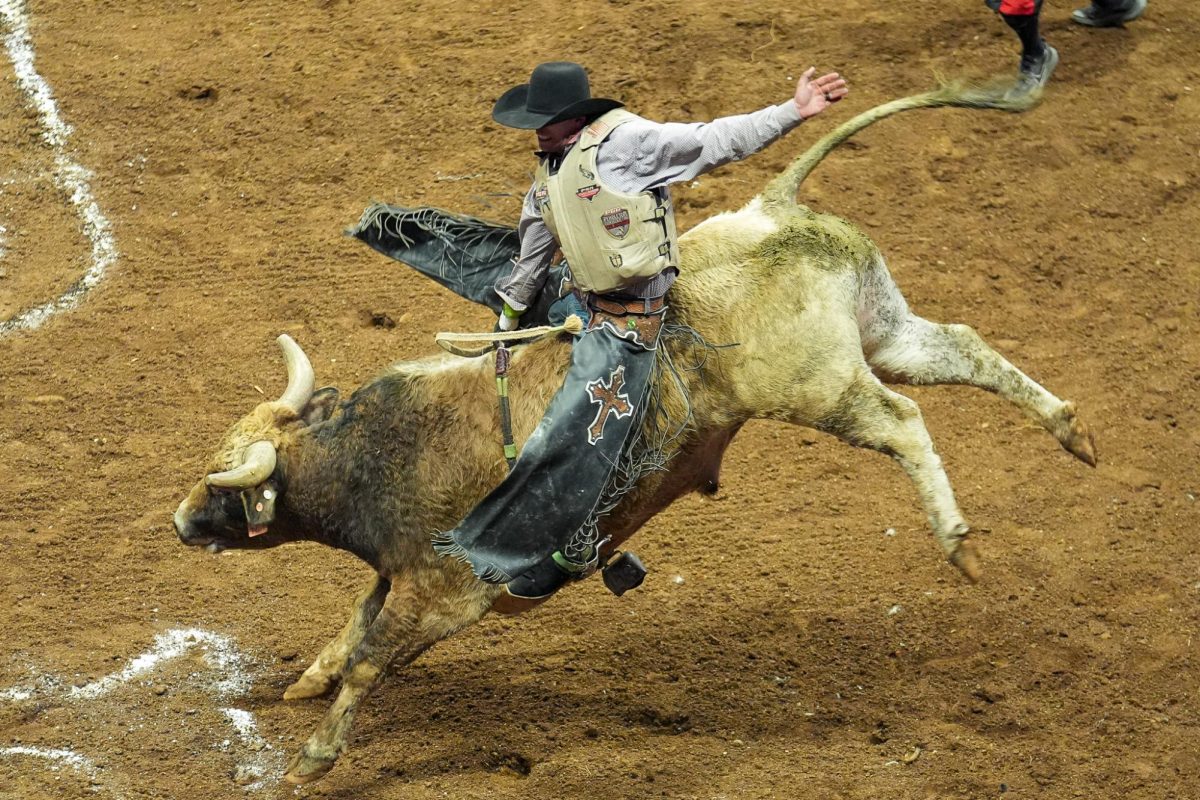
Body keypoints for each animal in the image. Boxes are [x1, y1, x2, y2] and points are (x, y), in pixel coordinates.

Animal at [169, 84, 1099, 786]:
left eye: (222, 485)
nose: (178, 520)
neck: (375, 455)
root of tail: (769, 209)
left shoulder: (446, 589)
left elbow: (372, 655)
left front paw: (315, 754)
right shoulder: (396, 571)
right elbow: (352, 629)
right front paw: (306, 680)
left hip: (822, 386)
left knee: (903, 422)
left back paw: (961, 543)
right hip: (883, 331)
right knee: (965, 349)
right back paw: (1072, 431)